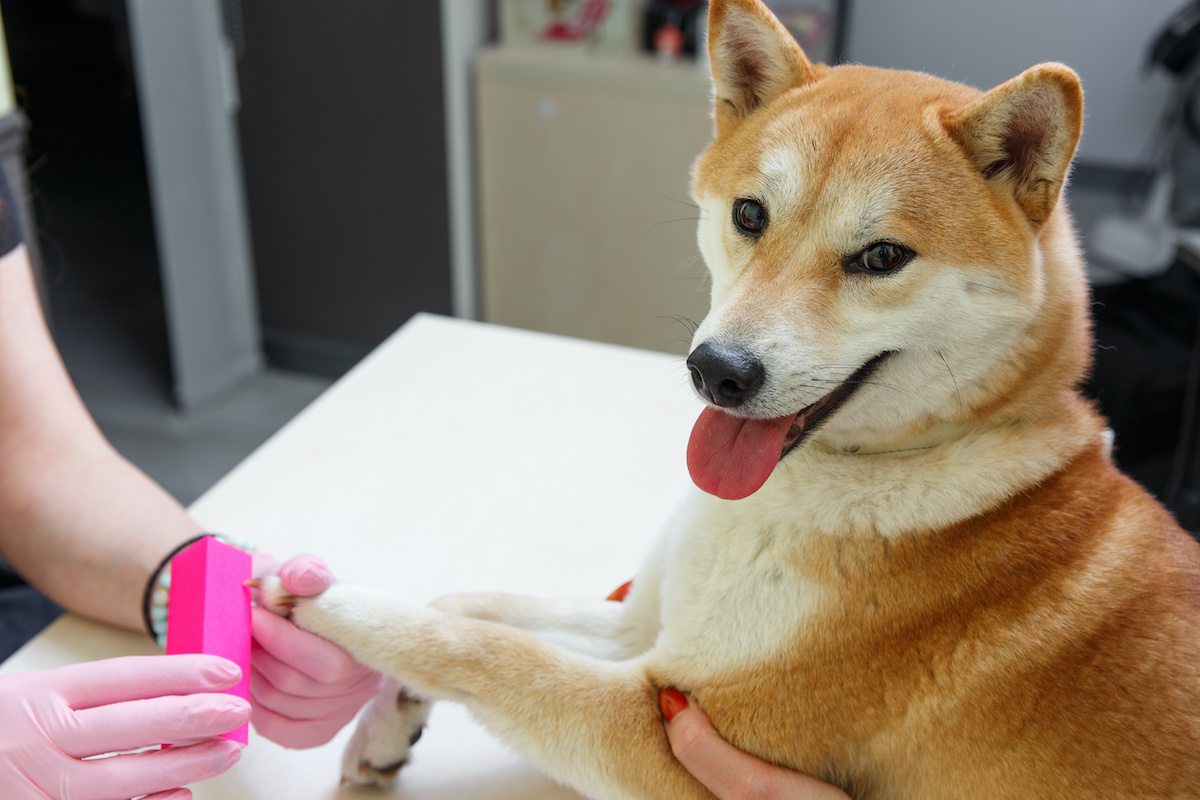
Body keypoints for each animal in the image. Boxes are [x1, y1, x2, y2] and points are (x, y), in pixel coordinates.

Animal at [262, 0, 1200, 796]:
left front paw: (327, 603)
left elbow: (477, 648)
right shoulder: (647, 628)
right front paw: (382, 724)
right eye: (751, 213)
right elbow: (465, 604)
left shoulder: (662, 728)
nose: (717, 371)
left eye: (882, 258)